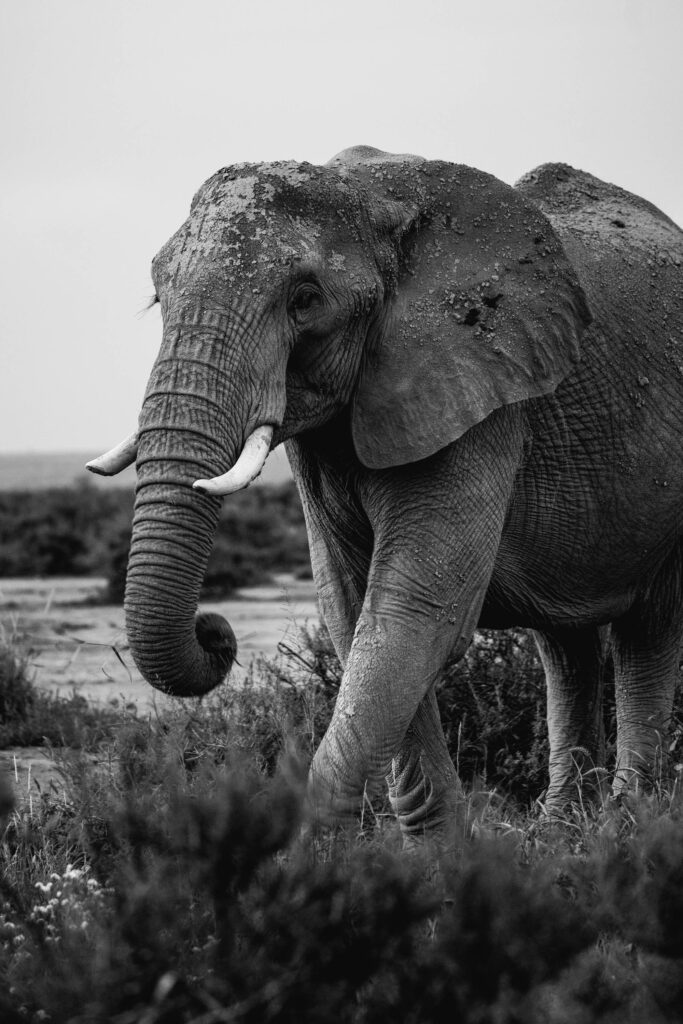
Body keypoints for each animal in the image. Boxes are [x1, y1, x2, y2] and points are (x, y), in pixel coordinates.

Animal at [89, 146, 683, 838]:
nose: (216, 631)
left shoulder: (480, 393)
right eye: (158, 296)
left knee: (647, 633)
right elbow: (352, 610)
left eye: (305, 298)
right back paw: (564, 828)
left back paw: (627, 826)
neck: (371, 198)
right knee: (563, 642)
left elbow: (414, 611)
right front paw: (442, 849)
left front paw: (314, 853)